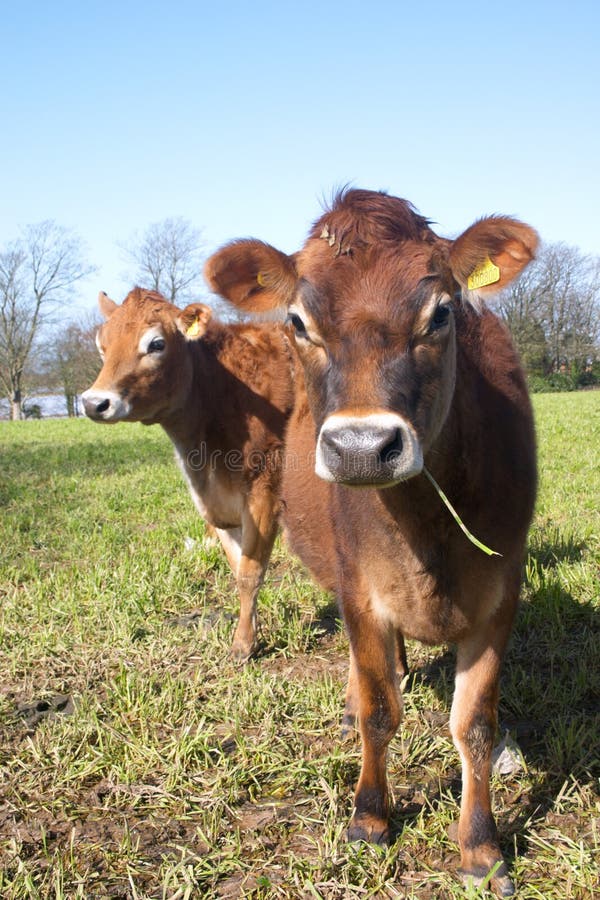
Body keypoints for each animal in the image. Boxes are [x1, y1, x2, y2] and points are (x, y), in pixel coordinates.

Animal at [79, 288, 296, 660]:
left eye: (156, 344)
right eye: (102, 344)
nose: (95, 403)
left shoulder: (264, 491)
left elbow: (250, 573)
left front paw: (242, 646)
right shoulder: (220, 508)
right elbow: (237, 567)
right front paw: (250, 634)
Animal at [206, 190, 540, 892]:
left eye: (440, 313)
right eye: (299, 322)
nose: (362, 448)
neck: (424, 529)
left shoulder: (501, 594)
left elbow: (474, 723)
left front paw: (480, 845)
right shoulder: (360, 593)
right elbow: (379, 710)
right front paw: (369, 816)